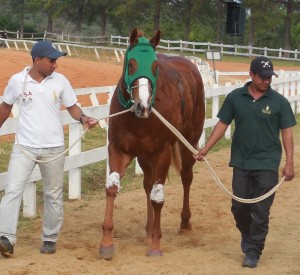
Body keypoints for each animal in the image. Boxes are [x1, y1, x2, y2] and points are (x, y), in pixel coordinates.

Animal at [99, 29, 205, 260]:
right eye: (131, 63)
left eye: (155, 66)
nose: (143, 106)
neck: (138, 120)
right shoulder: (118, 149)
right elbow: (112, 189)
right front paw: (106, 242)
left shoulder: (162, 153)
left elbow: (158, 197)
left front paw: (156, 243)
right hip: (144, 155)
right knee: (147, 184)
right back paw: (148, 229)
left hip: (188, 143)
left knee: (186, 178)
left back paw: (184, 222)